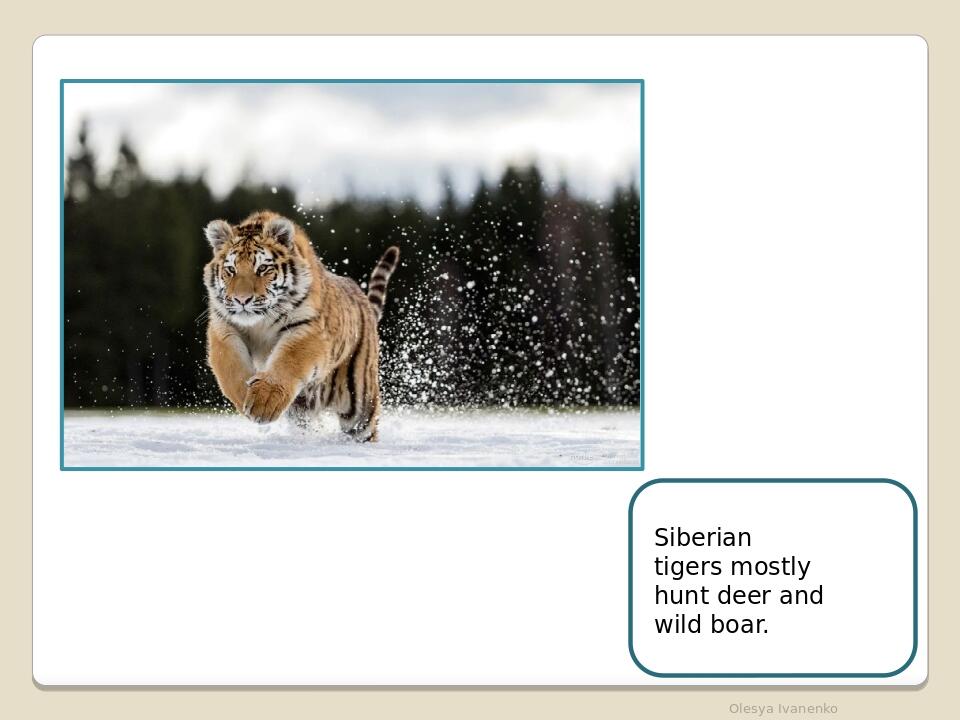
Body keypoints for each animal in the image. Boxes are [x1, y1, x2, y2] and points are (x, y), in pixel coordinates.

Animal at [202, 210, 400, 442]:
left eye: (262, 268)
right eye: (231, 270)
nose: (242, 300)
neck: (260, 321)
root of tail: (365, 304)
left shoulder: (308, 329)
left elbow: (288, 362)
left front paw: (263, 402)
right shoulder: (223, 326)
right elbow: (229, 366)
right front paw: (246, 397)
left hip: (360, 408)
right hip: (303, 410)